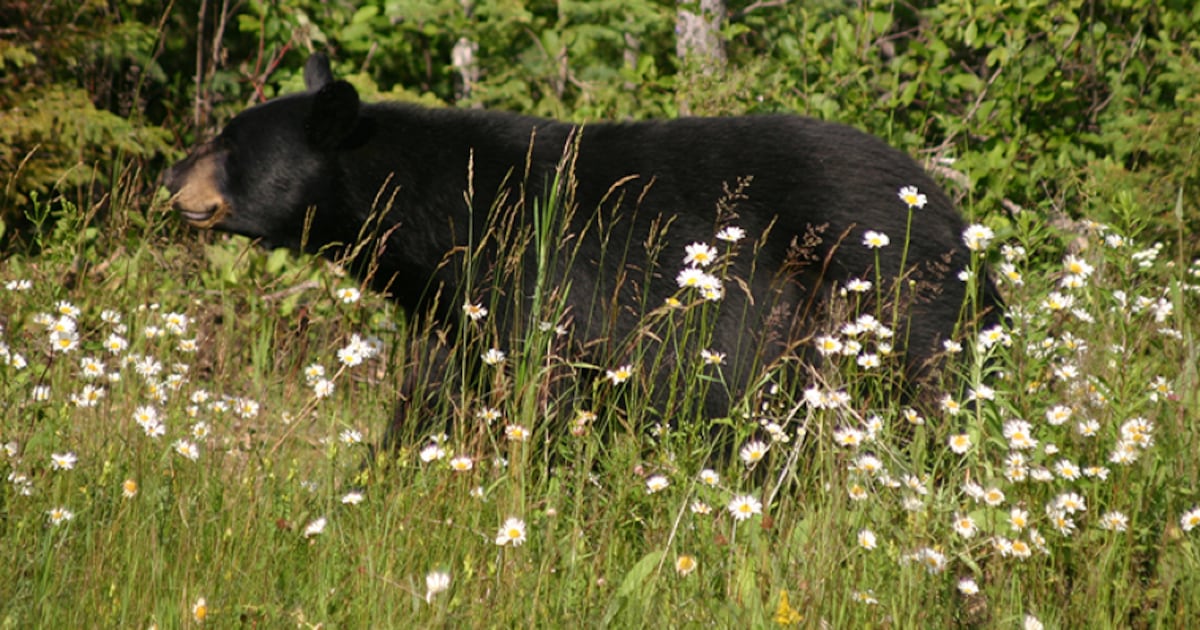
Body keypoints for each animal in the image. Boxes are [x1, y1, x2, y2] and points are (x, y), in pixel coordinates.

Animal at [165, 53, 1001, 451]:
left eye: (229, 142)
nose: (171, 175)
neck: (443, 218)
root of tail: (957, 221)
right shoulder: (449, 309)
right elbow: (432, 399)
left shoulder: (537, 280)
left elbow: (544, 389)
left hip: (889, 302)